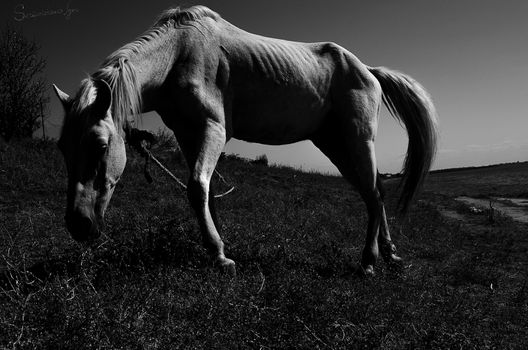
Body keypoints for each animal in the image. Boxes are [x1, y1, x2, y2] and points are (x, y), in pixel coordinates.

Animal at [52, 4, 438, 274]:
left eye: (100, 145)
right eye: (62, 148)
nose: (78, 225)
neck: (179, 53)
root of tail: (368, 71)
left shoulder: (214, 129)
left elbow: (197, 187)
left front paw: (220, 257)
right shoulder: (188, 135)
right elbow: (204, 192)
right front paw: (218, 247)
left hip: (359, 140)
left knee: (374, 194)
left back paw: (369, 261)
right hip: (335, 146)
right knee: (373, 193)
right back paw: (389, 253)